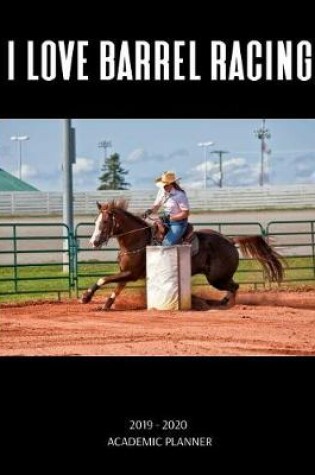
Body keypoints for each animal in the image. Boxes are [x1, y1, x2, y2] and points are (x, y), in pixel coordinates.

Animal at [80, 199, 286, 310]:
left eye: (105, 222)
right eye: (96, 221)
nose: (93, 242)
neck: (137, 239)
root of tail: (229, 240)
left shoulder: (132, 274)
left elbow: (103, 279)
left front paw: (86, 297)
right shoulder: (126, 273)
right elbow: (116, 288)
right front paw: (105, 305)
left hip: (217, 278)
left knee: (234, 287)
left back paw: (220, 303)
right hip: (219, 277)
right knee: (233, 287)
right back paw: (213, 302)